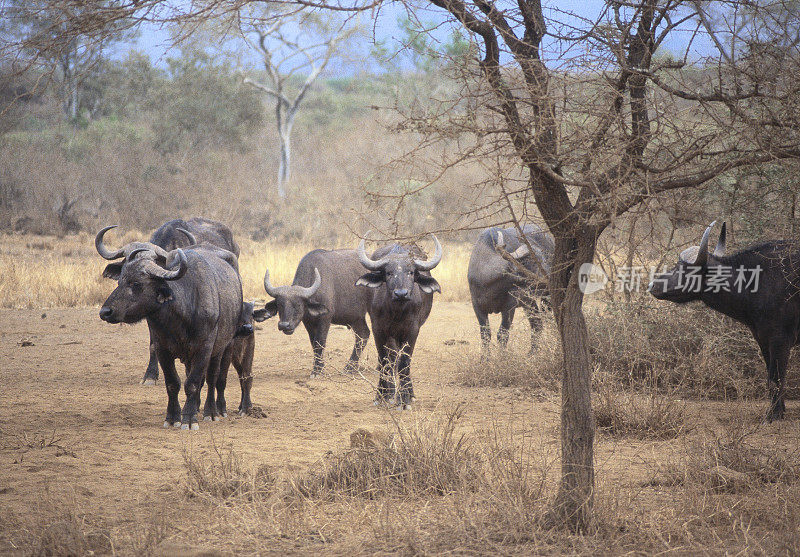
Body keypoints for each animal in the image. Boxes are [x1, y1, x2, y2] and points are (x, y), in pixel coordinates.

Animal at [96, 235, 242, 430]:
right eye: (120, 281)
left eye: (136, 283)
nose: (105, 312)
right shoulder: (162, 349)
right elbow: (173, 383)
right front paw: (173, 417)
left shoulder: (204, 349)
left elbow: (193, 383)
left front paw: (189, 419)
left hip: (222, 347)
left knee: (213, 379)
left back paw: (212, 411)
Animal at [356, 232, 444, 406]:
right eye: (389, 273)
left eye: (411, 272)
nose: (401, 293)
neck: (397, 312)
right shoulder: (378, 330)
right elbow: (385, 360)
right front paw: (382, 395)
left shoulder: (412, 331)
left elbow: (404, 363)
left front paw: (405, 399)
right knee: (390, 359)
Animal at [648, 219, 800, 420]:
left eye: (683, 268)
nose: (652, 285)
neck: (756, 282)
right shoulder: (763, 339)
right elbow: (772, 377)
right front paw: (778, 410)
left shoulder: (779, 340)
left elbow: (776, 378)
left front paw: (774, 416)